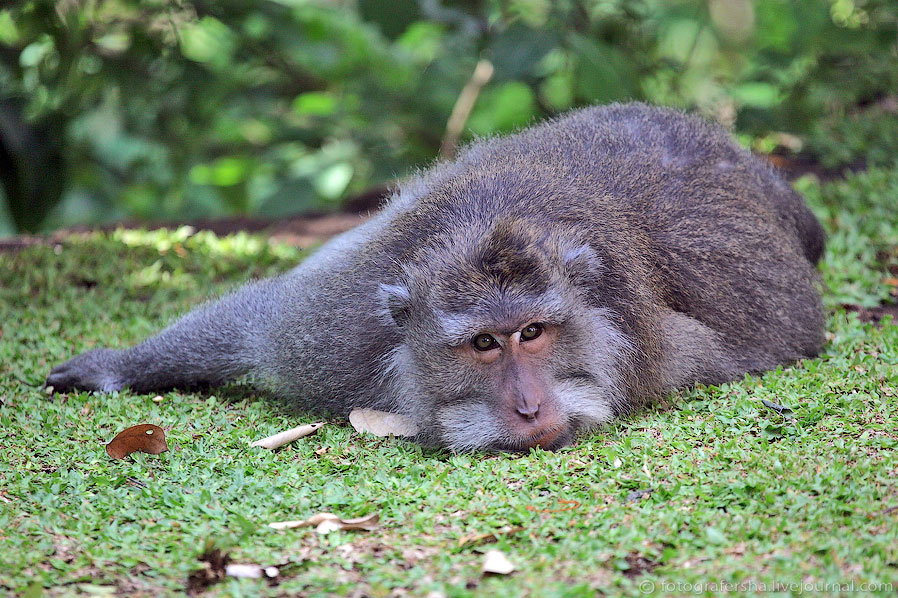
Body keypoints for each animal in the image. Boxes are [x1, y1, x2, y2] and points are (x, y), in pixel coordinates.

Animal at [45, 103, 824, 452]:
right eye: (484, 344)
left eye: (533, 332)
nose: (530, 409)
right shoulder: (340, 330)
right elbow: (259, 322)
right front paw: (118, 366)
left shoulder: (657, 352)